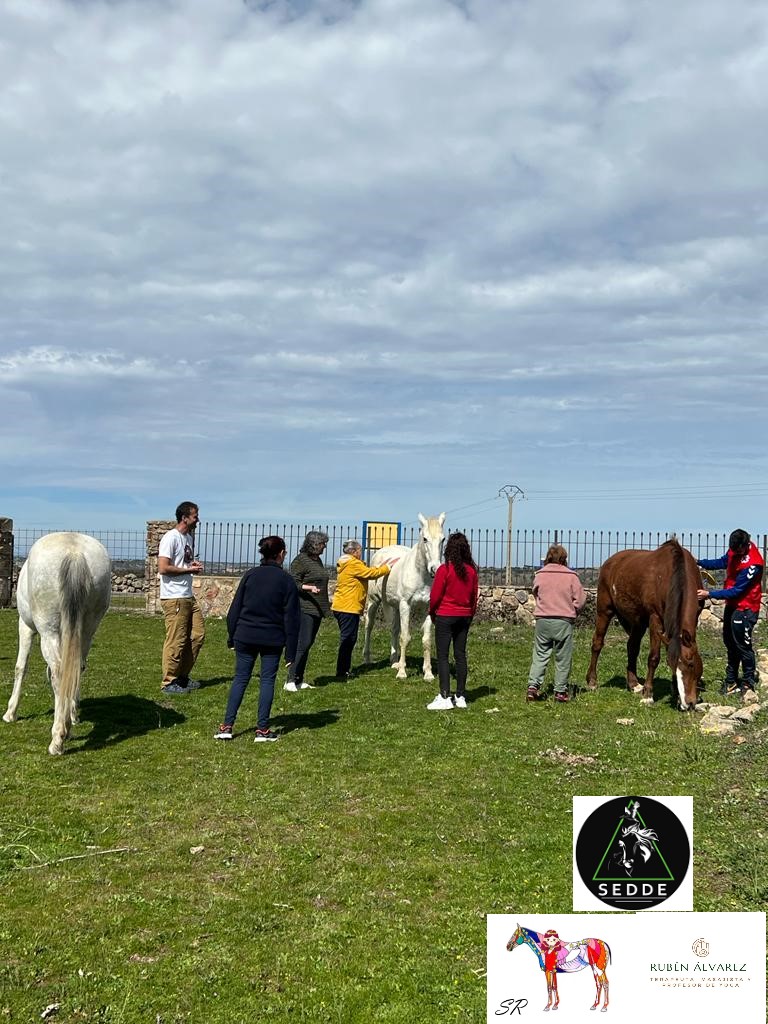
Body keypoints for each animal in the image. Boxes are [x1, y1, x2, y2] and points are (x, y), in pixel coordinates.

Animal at [3, 532, 112, 757]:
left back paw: (58, 738)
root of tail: (74, 552)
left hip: (48, 631)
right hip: (87, 630)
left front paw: (10, 712)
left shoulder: (25, 627)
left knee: (59, 671)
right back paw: (68, 723)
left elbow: (21, 667)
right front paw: (73, 715)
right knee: (77, 667)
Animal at [364, 512, 448, 679]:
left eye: (443, 539)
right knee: (369, 626)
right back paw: (368, 658)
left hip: (395, 607)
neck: (420, 576)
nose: (435, 569)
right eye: (425, 539)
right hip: (374, 601)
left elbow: (426, 640)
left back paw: (394, 661)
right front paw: (402, 673)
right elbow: (405, 637)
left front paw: (428, 673)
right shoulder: (405, 605)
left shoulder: (428, 608)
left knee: (394, 629)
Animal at [589, 536, 704, 712]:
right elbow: (654, 657)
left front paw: (675, 691)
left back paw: (634, 684)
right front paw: (648, 695)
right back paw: (592, 682)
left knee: (632, 646)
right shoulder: (655, 618)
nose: (688, 704)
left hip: (638, 621)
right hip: (604, 610)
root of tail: (611, 562)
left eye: (691, 664)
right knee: (597, 643)